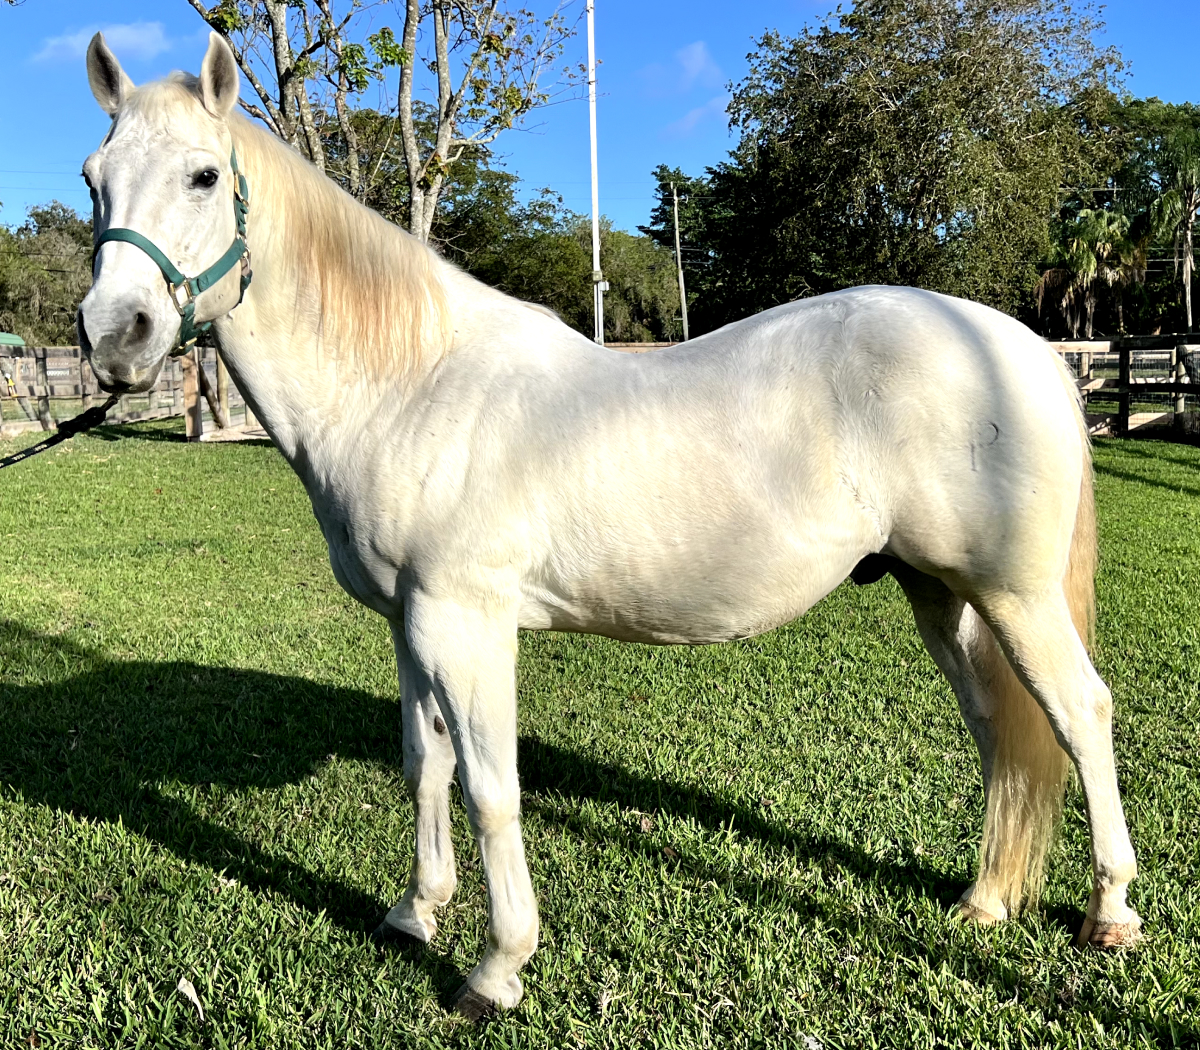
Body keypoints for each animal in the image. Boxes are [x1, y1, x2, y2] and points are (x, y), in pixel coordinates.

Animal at [76, 31, 1142, 1019]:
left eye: (204, 175)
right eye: (93, 180)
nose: (113, 336)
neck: (412, 385)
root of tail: (1021, 346)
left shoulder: (465, 625)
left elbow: (489, 786)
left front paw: (496, 970)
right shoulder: (411, 626)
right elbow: (425, 765)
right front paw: (415, 913)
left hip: (1014, 594)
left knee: (1080, 713)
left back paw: (1110, 913)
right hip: (942, 594)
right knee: (1001, 727)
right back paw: (985, 900)